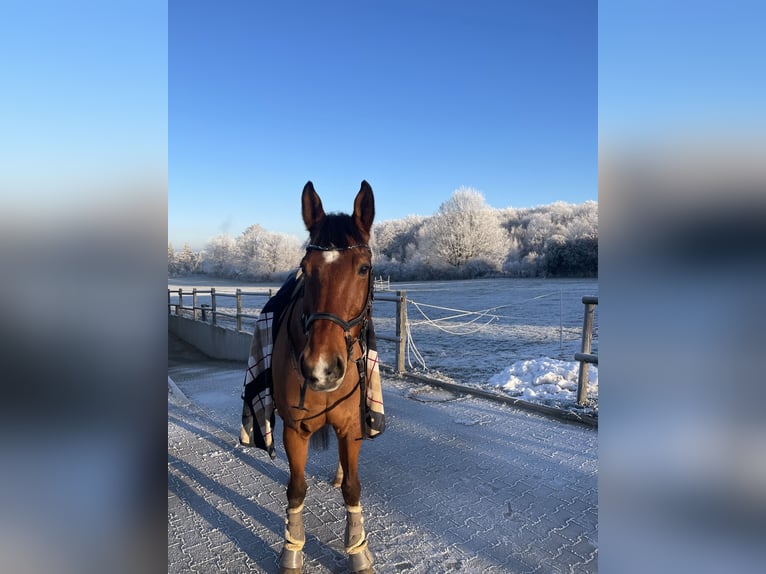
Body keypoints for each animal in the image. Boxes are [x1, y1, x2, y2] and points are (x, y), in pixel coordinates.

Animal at [272, 182, 378, 572]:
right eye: (306, 267)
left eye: (363, 268)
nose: (321, 368)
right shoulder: (294, 430)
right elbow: (296, 488)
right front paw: (292, 549)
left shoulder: (350, 427)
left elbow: (353, 487)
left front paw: (358, 550)